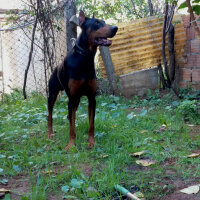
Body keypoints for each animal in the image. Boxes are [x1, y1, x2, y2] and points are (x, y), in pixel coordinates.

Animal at [47, 10, 118, 149]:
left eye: (104, 22)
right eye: (97, 23)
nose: (115, 28)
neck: (84, 58)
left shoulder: (91, 98)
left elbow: (91, 125)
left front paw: (91, 142)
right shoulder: (72, 98)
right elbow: (71, 127)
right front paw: (71, 145)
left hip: (77, 99)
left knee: (70, 115)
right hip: (53, 95)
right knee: (50, 115)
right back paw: (50, 134)